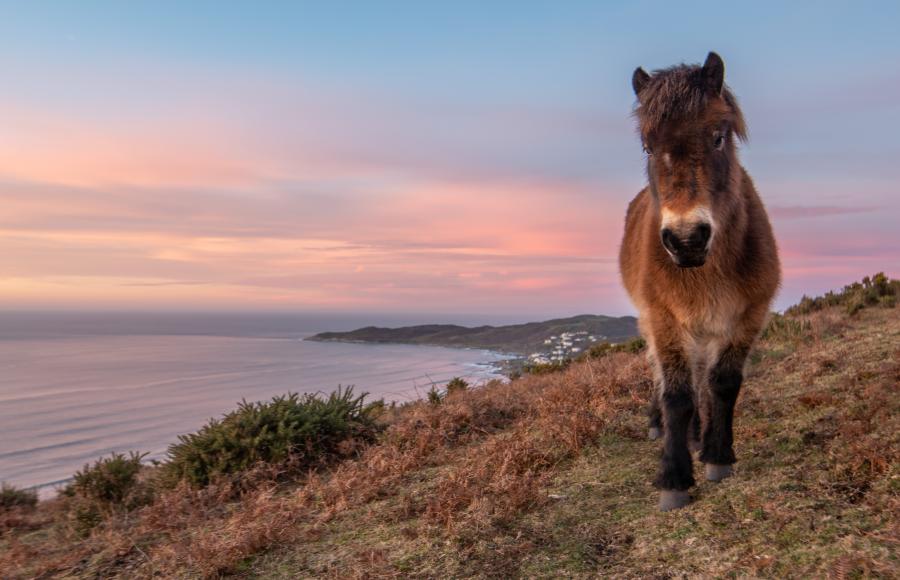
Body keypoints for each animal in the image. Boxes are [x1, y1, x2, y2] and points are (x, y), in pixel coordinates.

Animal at [620, 52, 780, 510]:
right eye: (648, 146)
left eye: (718, 137)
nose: (687, 239)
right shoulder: (663, 319)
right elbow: (677, 395)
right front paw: (674, 478)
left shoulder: (748, 315)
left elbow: (722, 384)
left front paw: (717, 455)